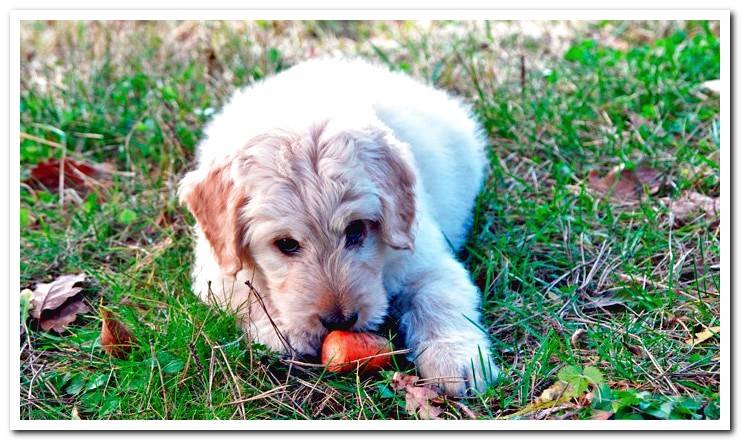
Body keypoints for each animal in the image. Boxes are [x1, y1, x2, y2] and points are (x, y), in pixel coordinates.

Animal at [181, 58, 498, 396]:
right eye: (286, 244)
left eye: (356, 229)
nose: (340, 321)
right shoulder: (215, 271)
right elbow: (245, 292)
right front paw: (283, 329)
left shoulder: (425, 259)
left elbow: (439, 299)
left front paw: (457, 360)